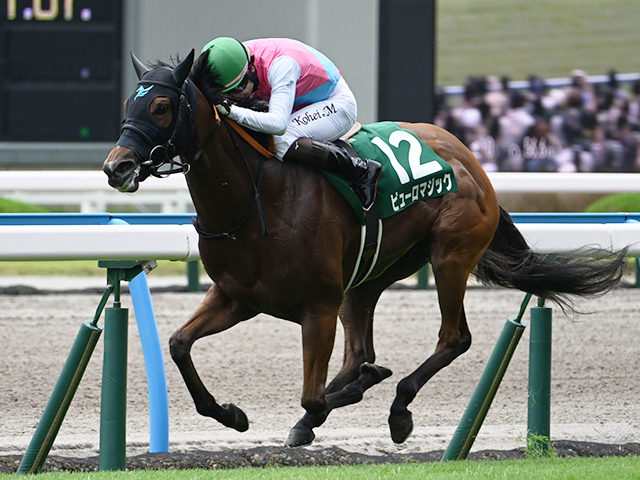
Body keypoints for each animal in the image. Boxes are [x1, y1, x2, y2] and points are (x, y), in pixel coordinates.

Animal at [102, 50, 628, 448]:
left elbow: (313, 395)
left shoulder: (317, 304)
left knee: (452, 338)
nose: (116, 166)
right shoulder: (237, 296)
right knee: (359, 351)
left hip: (449, 255)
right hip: (369, 276)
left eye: (162, 107)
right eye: (129, 101)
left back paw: (397, 408)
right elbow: (178, 344)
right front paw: (232, 413)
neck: (258, 197)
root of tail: (469, 156)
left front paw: (353, 395)